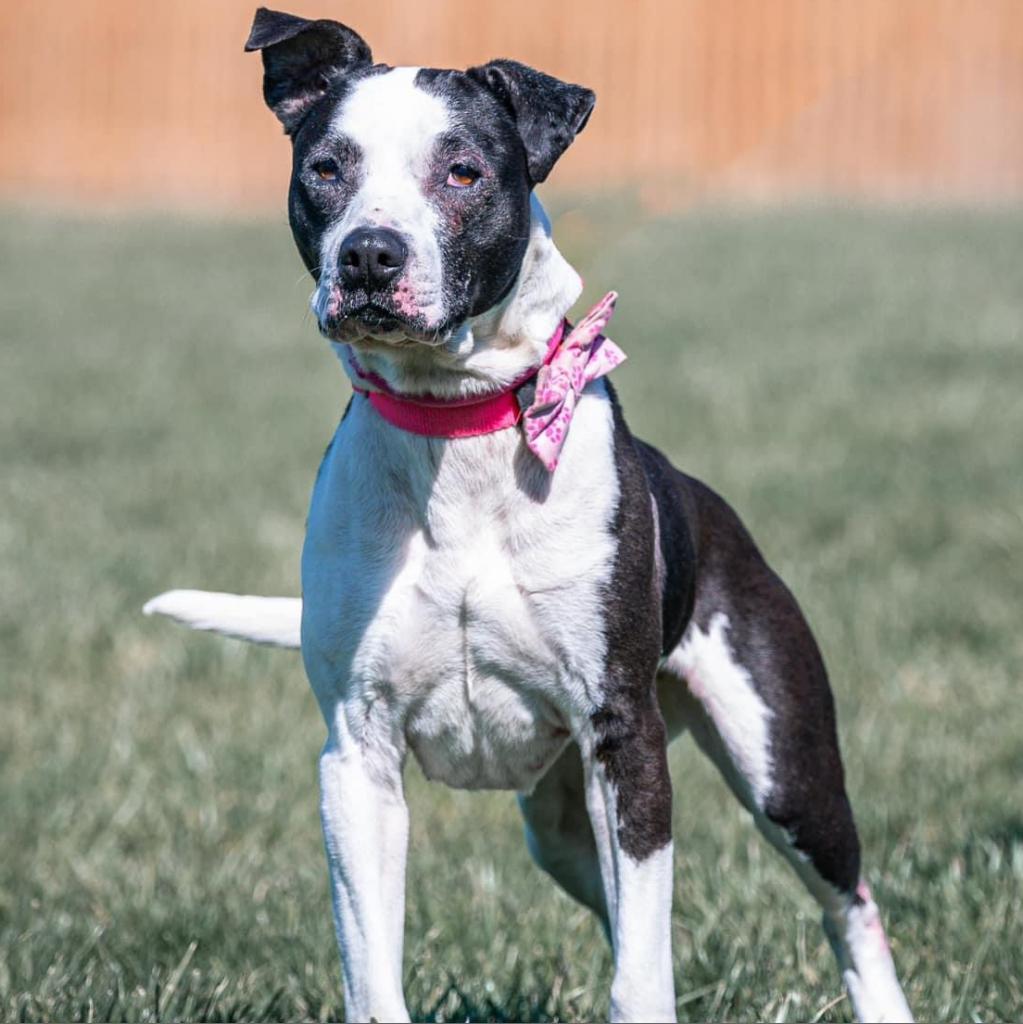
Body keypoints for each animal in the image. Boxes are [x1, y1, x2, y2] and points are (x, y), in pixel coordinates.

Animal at [144, 9, 913, 1024]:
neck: (458, 425)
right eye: (328, 167)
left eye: (464, 172)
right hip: (560, 829)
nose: (369, 254)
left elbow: (643, 974)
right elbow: (372, 966)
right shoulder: (357, 759)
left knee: (846, 902)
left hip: (783, 768)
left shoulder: (626, 748)